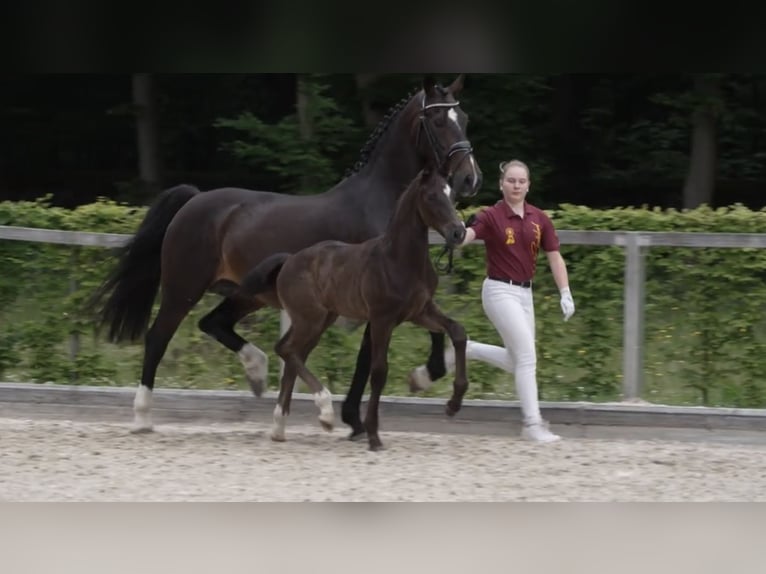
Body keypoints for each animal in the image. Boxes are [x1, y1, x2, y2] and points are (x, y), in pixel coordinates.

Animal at [228, 165, 468, 450]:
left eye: (451, 195)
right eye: (431, 196)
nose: (458, 232)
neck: (399, 260)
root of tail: (288, 260)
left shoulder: (420, 312)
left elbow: (458, 331)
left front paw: (454, 404)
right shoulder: (382, 319)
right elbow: (379, 371)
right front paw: (374, 435)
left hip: (320, 320)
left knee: (292, 353)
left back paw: (280, 427)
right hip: (310, 319)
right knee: (286, 350)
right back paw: (325, 412)